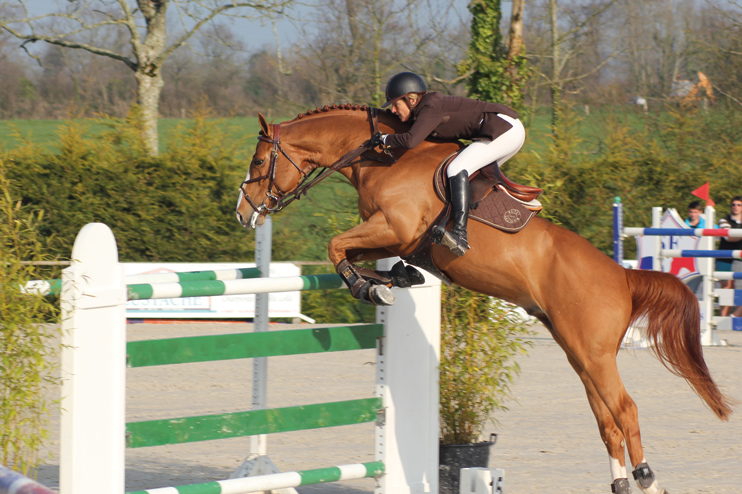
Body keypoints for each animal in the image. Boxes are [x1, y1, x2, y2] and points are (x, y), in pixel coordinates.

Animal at [235, 105, 736, 494]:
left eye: (258, 160)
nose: (243, 214)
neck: (384, 158)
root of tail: (623, 276)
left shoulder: (394, 227)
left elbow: (336, 245)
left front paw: (371, 286)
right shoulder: (388, 235)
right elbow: (347, 252)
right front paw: (388, 280)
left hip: (593, 354)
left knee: (626, 410)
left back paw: (648, 478)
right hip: (580, 353)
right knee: (607, 419)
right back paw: (619, 482)